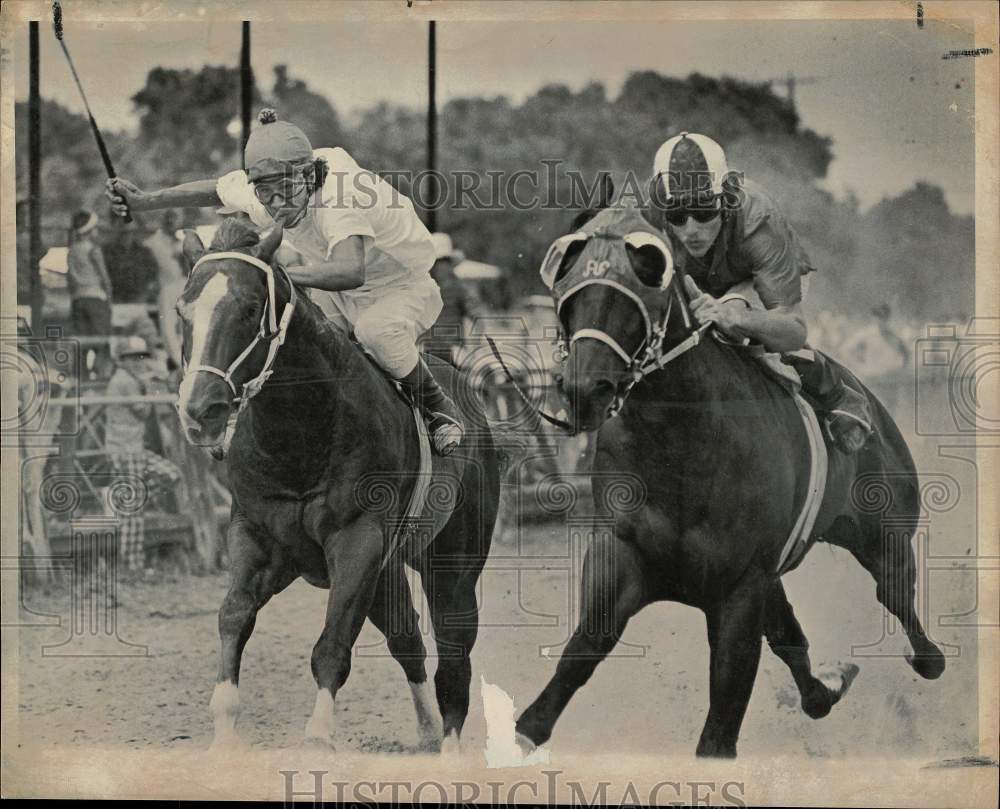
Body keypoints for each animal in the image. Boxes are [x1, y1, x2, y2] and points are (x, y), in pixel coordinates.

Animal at [174, 219, 501, 752]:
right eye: (183, 310)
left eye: (249, 308)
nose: (201, 409)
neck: (303, 434)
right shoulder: (257, 536)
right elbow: (233, 615)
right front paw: (223, 731)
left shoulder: (357, 540)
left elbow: (332, 642)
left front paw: (319, 735)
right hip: (388, 571)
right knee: (407, 639)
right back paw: (429, 730)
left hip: (452, 561)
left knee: (453, 651)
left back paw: (450, 742)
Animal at [514, 199, 945, 758]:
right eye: (568, 287)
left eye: (647, 279)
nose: (584, 389)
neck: (681, 446)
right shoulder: (625, 556)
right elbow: (567, 674)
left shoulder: (740, 591)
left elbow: (719, 730)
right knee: (795, 646)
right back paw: (827, 685)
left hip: (885, 535)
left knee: (900, 603)